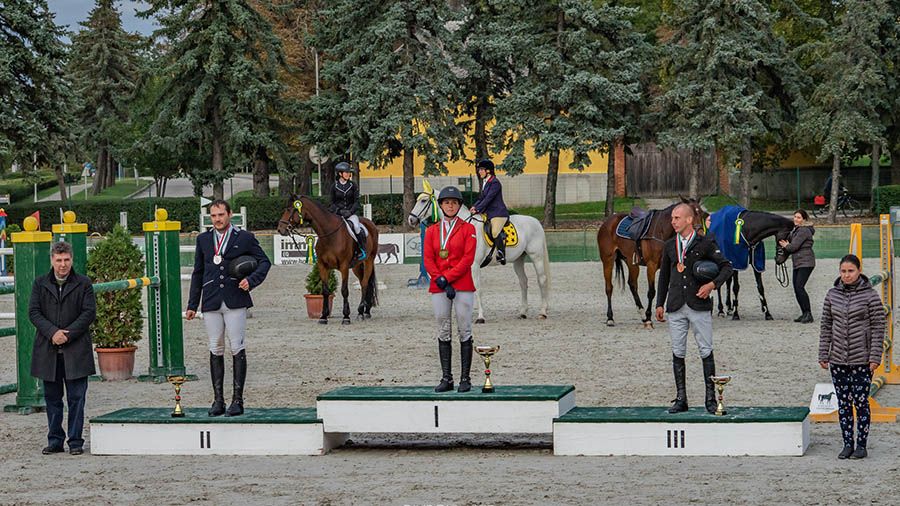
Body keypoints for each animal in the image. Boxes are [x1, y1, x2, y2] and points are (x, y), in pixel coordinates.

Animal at [282, 194, 380, 324]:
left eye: (289, 209)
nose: (280, 229)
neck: (329, 234)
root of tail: (370, 223)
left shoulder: (344, 267)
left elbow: (344, 290)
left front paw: (346, 317)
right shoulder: (323, 266)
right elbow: (325, 291)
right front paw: (323, 316)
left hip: (369, 260)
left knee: (364, 284)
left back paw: (360, 312)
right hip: (357, 266)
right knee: (366, 283)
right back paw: (366, 311)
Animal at [408, 180, 548, 322]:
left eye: (423, 200)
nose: (411, 219)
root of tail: (535, 221)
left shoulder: (473, 265)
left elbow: (477, 289)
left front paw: (480, 316)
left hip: (536, 256)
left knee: (542, 280)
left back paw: (543, 312)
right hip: (518, 259)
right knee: (523, 281)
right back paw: (523, 312)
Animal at [596, 200, 712, 330]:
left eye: (702, 214)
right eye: (690, 216)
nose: (700, 234)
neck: (661, 230)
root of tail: (607, 222)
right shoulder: (651, 266)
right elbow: (652, 292)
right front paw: (649, 319)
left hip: (631, 262)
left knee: (632, 284)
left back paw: (641, 314)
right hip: (608, 260)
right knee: (609, 288)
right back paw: (610, 318)